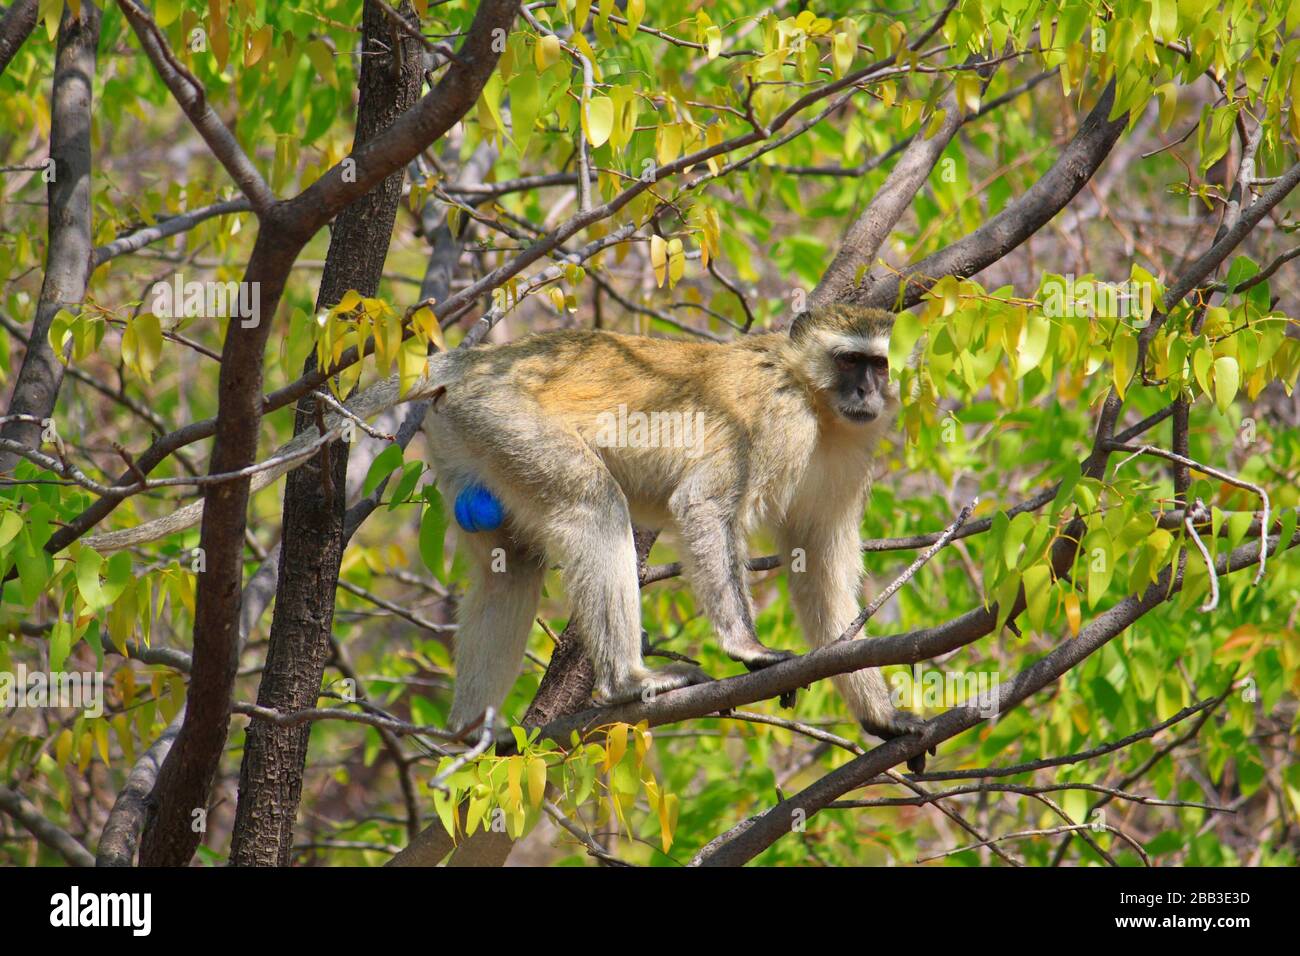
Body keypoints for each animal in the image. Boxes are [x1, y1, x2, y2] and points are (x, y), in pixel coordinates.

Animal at [81, 306, 930, 770]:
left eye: (877, 363)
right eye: (848, 361)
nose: (867, 392)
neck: (817, 404)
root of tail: (476, 361)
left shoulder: (849, 453)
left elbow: (819, 567)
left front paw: (881, 716)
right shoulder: (772, 415)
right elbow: (704, 506)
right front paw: (745, 651)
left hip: (469, 437)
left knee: (511, 559)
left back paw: (471, 730)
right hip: (507, 416)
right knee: (592, 505)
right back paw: (629, 681)